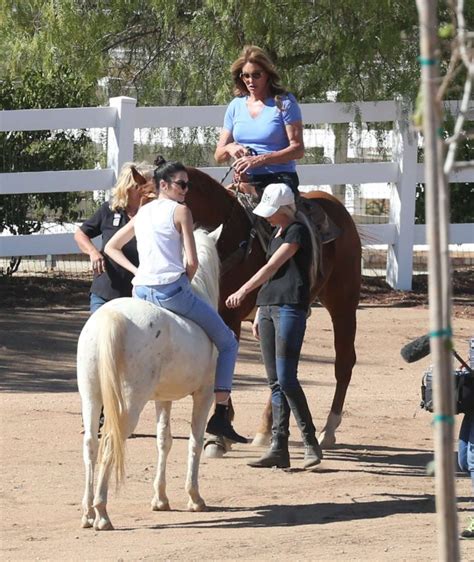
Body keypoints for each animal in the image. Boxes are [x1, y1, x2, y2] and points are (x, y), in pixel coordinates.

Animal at [78, 228, 221, 528]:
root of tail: (110, 316)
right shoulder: (204, 395)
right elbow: (194, 441)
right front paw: (194, 498)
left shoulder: (162, 399)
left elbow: (163, 441)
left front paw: (160, 499)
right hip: (129, 404)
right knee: (110, 444)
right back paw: (102, 513)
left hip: (91, 398)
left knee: (91, 446)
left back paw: (87, 513)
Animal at [183, 166, 362, 446]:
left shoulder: (230, 317)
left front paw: (220, 432)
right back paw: (266, 429)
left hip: (343, 302)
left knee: (344, 362)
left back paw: (328, 429)